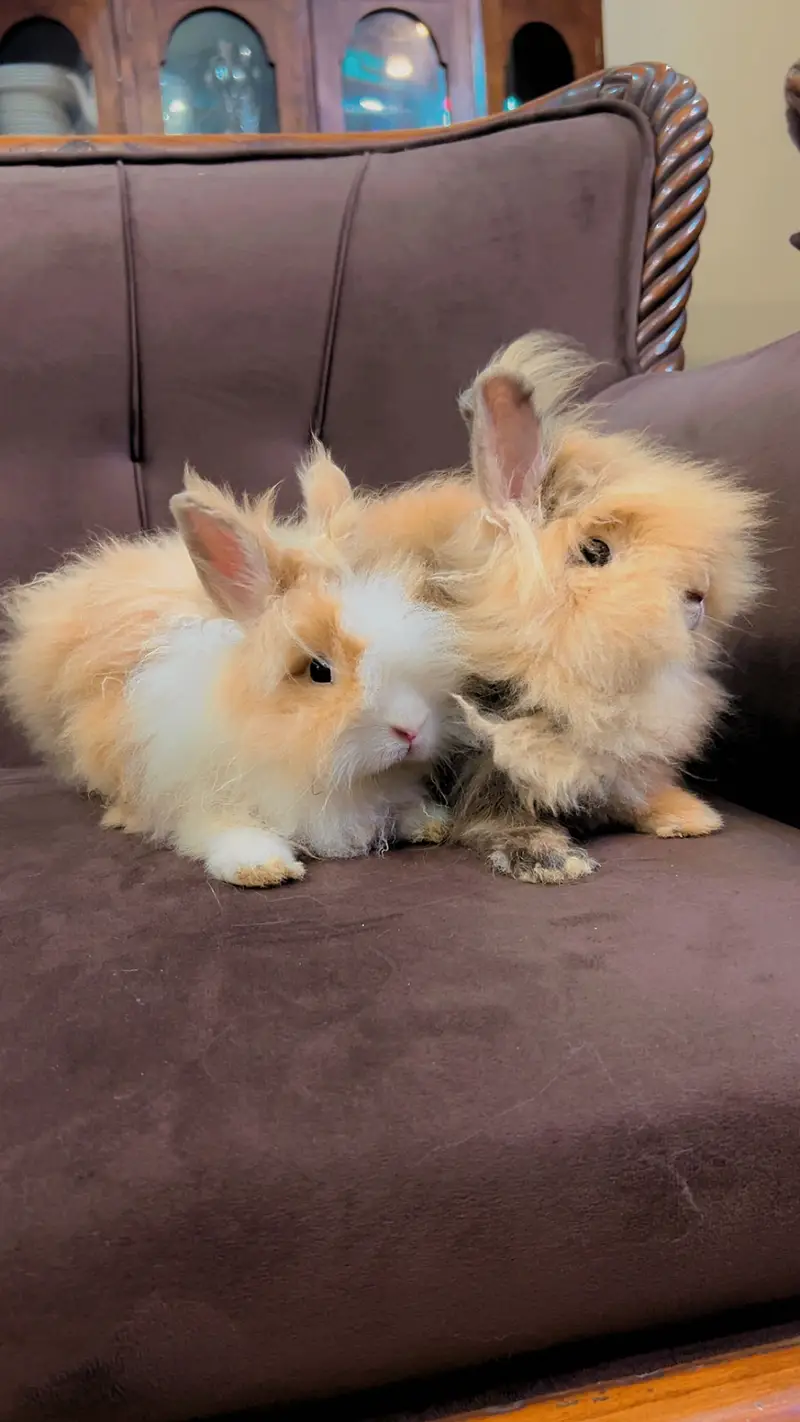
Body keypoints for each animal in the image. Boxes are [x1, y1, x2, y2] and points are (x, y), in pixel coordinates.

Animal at [0, 470, 463, 886]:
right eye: (318, 670)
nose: (412, 729)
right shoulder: (198, 795)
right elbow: (227, 830)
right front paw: (261, 868)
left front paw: (429, 822)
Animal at [296, 333, 765, 884]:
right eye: (596, 551)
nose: (699, 596)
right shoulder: (486, 753)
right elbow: (500, 809)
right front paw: (552, 860)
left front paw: (688, 817)